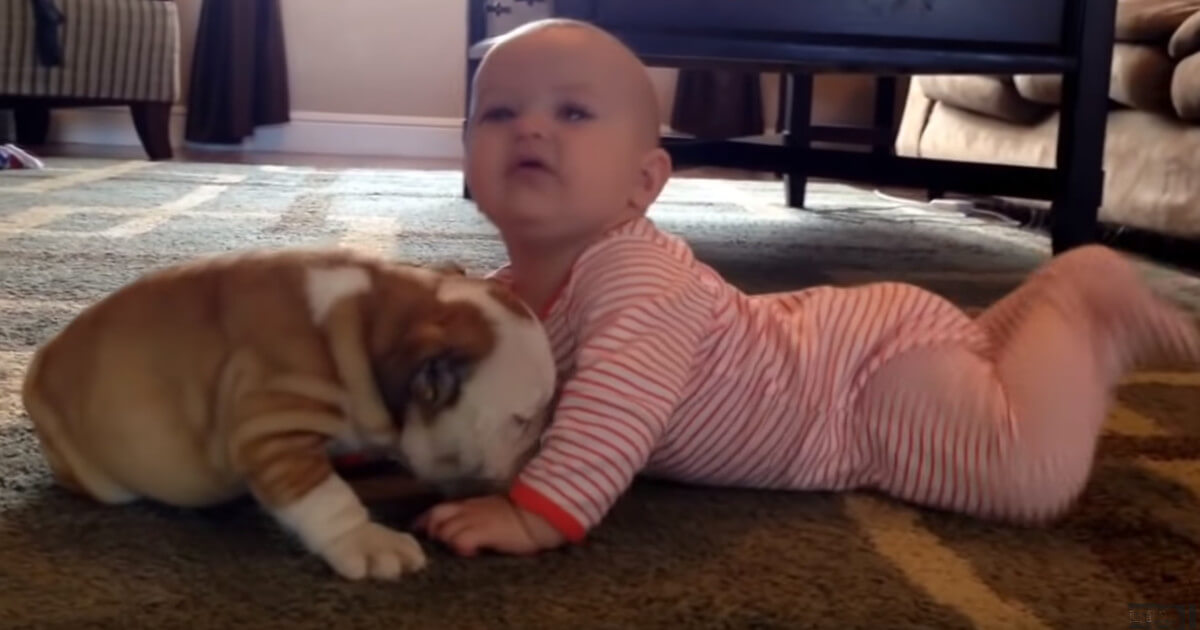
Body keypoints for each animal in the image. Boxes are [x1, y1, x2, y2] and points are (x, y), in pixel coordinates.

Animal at [22, 247, 556, 580]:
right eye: (521, 422)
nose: (541, 442)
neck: (373, 322)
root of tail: (37, 369)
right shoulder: (272, 421)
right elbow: (325, 495)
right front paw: (366, 542)